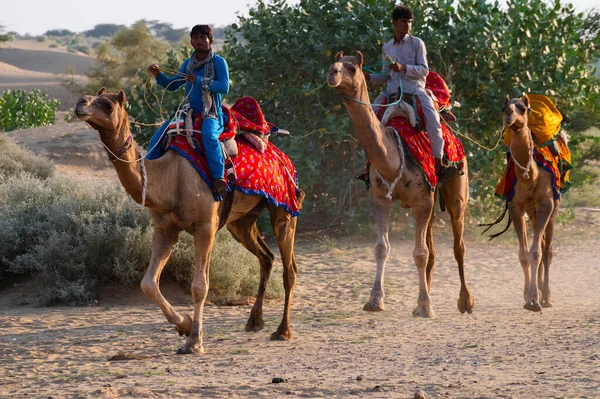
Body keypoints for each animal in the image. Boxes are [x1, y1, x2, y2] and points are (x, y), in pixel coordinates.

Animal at [74, 89, 304, 354]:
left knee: (290, 268)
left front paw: (194, 341)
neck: (171, 178)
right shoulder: (165, 229)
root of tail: (283, 155)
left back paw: (283, 331)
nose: (80, 104)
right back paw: (254, 322)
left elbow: (199, 286)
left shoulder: (205, 227)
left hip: (284, 205)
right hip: (242, 221)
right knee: (266, 257)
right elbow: (148, 283)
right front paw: (184, 324)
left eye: (108, 105)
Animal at [326, 51, 476, 318]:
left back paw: (465, 302)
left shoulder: (422, 201)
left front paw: (425, 307)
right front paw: (375, 300)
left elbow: (419, 253)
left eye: (352, 68)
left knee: (458, 244)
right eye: (336, 63)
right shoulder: (380, 199)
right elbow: (381, 248)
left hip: (458, 187)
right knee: (433, 249)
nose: (332, 73)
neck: (393, 156)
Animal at [500, 94, 560, 312]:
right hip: (532, 212)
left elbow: (536, 253)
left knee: (547, 250)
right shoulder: (516, 207)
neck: (530, 176)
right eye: (504, 107)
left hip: (554, 208)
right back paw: (543, 294)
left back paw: (547, 297)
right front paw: (528, 297)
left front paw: (535, 299)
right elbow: (524, 254)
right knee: (540, 245)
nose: (508, 114)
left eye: (522, 108)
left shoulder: (547, 205)